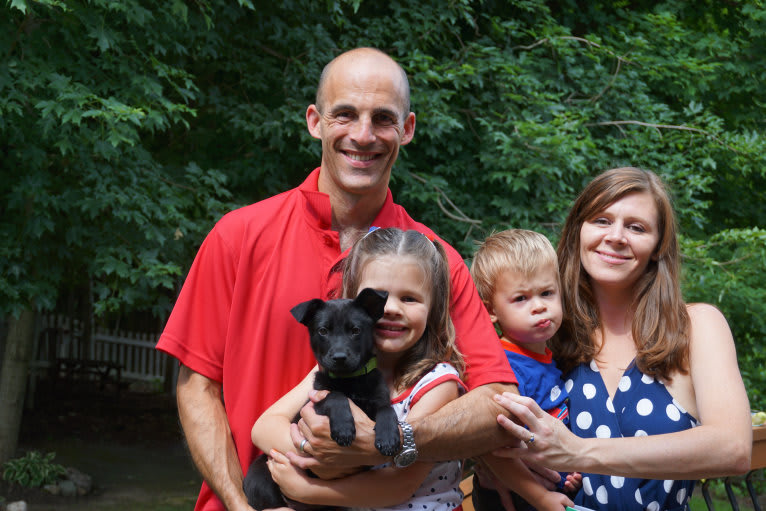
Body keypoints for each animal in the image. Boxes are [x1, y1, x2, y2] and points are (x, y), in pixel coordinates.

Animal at [244, 290, 402, 510]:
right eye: (323, 331)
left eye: (355, 330)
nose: (340, 357)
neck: (349, 380)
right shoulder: (312, 406)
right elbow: (334, 395)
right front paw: (344, 428)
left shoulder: (379, 399)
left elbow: (387, 410)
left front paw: (388, 438)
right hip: (259, 479)